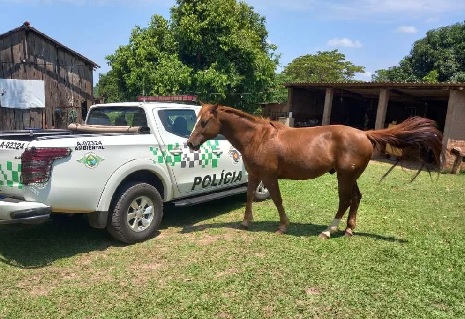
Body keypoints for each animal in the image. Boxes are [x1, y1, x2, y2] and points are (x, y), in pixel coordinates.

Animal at [186, 104, 442, 239]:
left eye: (204, 122)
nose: (190, 143)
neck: (258, 138)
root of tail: (365, 134)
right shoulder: (256, 175)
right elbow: (249, 196)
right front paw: (246, 222)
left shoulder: (269, 177)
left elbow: (277, 200)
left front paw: (283, 226)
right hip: (350, 176)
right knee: (356, 198)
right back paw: (349, 229)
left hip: (344, 177)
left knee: (345, 200)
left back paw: (329, 230)